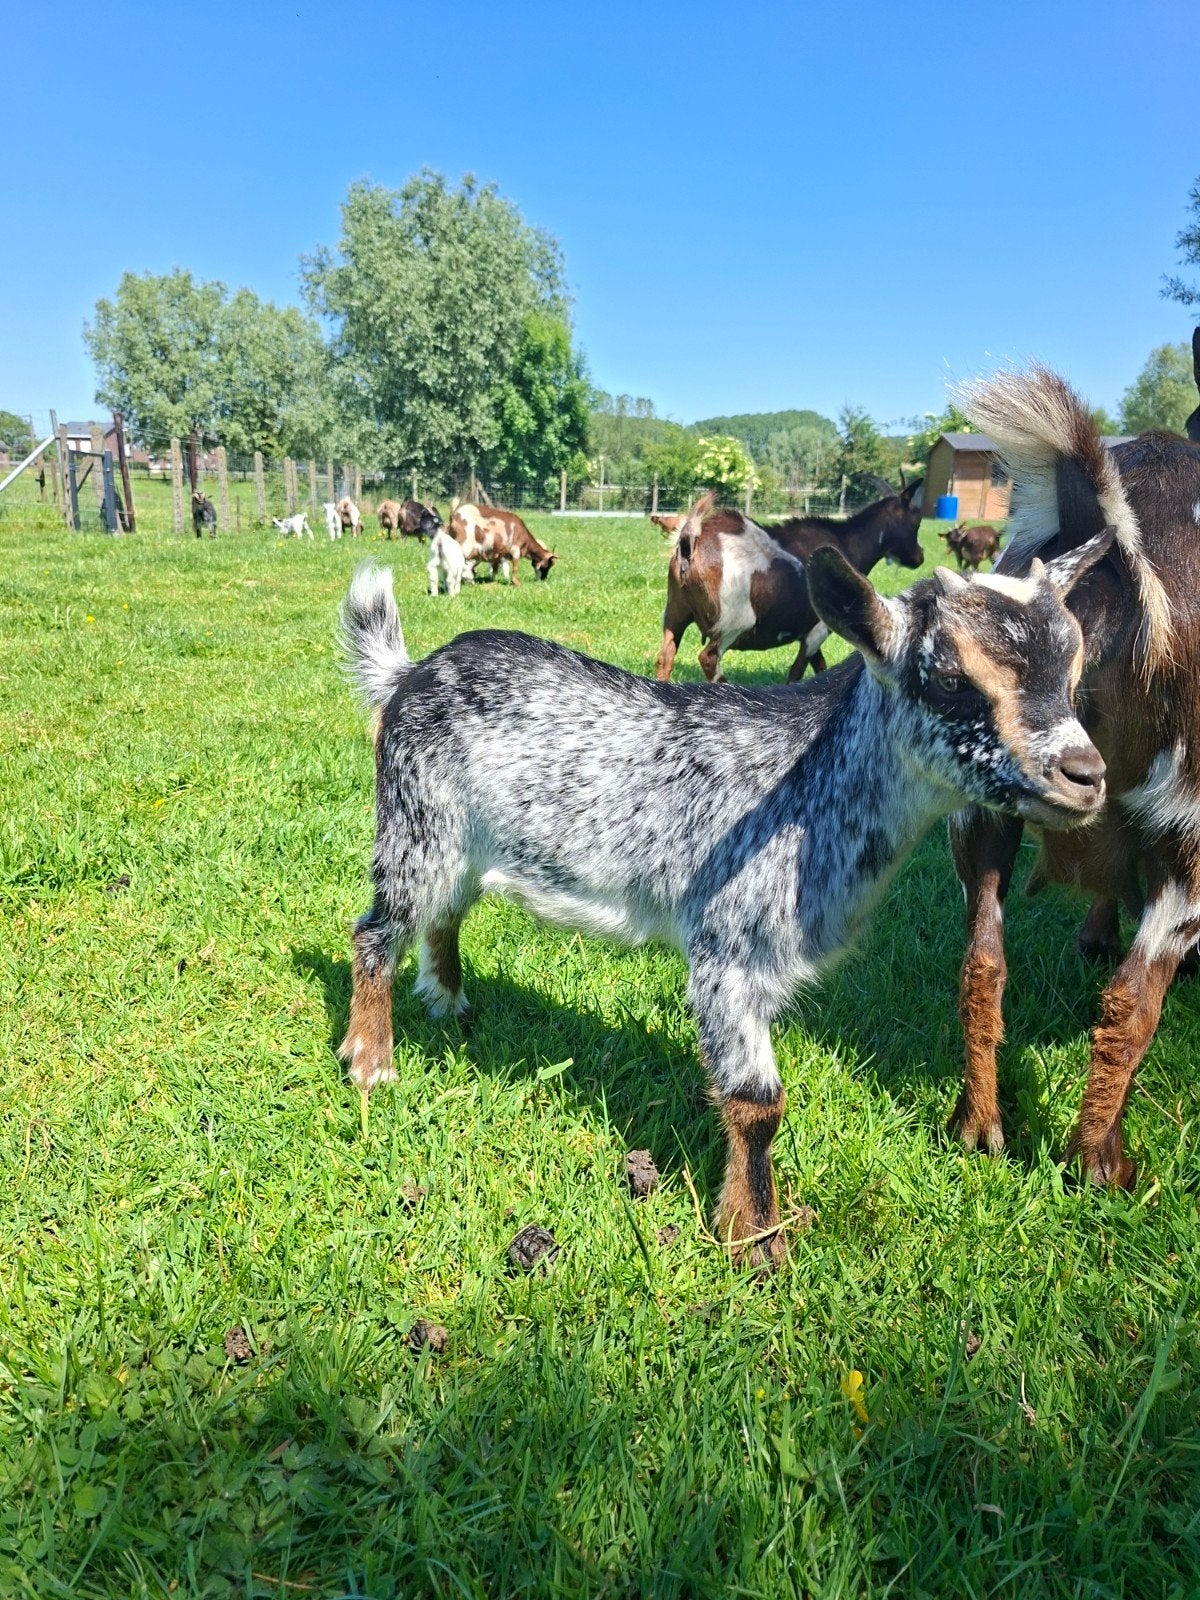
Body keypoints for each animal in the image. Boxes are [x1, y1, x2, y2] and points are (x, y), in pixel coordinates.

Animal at [337, 531, 1109, 1265]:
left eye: (1075, 671)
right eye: (951, 678)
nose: (1086, 775)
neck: (808, 785)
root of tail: (408, 674)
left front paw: (754, 1225)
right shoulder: (727, 950)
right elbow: (757, 1102)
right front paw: (754, 1239)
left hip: (465, 846)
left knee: (443, 915)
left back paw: (449, 1001)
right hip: (415, 819)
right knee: (376, 929)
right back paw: (371, 1062)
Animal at [656, 480, 924, 682]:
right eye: (916, 520)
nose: (919, 557)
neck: (848, 544)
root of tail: (691, 540)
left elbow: (821, 667)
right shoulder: (818, 629)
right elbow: (797, 672)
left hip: (675, 612)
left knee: (665, 657)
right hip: (734, 622)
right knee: (709, 658)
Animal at [947, 365, 1197, 1188]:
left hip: (981, 806)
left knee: (982, 963)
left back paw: (978, 1128)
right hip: (1190, 830)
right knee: (1131, 999)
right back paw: (1099, 1165)